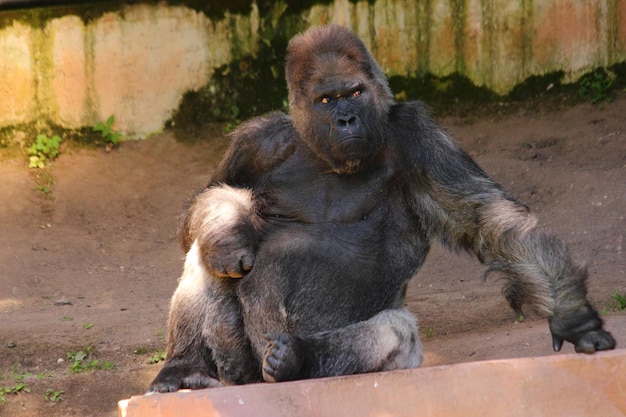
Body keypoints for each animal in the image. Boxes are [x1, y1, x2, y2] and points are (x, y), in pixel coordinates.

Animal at [147, 25, 616, 390]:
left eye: (354, 92)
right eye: (326, 99)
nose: (347, 120)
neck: (322, 153)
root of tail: (257, 378)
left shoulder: (417, 136)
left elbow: (488, 219)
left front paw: (572, 314)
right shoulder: (257, 141)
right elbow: (202, 206)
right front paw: (228, 230)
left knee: (395, 331)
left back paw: (298, 359)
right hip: (238, 368)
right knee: (203, 258)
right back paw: (184, 368)